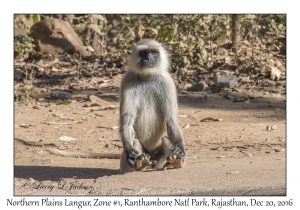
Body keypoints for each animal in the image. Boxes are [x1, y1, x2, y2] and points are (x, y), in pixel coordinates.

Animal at [119, 38, 185, 173]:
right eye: (143, 53)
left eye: (154, 52)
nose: (149, 58)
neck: (147, 76)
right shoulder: (127, 80)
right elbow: (127, 123)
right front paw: (129, 151)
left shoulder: (167, 81)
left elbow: (172, 121)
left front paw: (180, 149)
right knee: (136, 141)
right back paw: (140, 163)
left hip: (159, 160)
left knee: (165, 140)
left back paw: (176, 162)